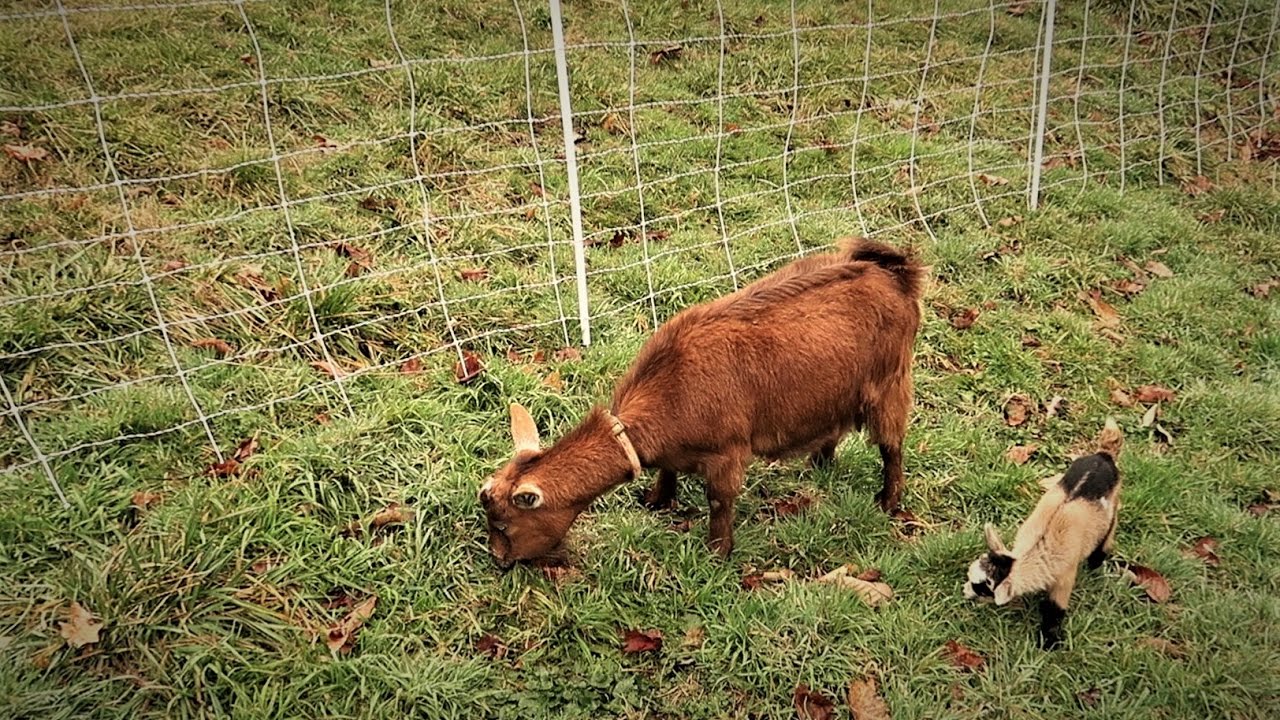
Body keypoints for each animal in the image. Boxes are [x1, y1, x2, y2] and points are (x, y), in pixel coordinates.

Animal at [479, 238, 924, 568]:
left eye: (503, 524)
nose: (499, 561)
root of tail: (896, 274)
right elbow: (667, 472)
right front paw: (656, 501)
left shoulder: (728, 452)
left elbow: (719, 500)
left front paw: (718, 552)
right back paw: (820, 462)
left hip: (891, 382)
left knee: (892, 445)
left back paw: (888, 501)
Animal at [965, 420, 1125, 648]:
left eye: (982, 589)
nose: (964, 591)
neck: (1035, 549)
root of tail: (1104, 455)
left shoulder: (1065, 577)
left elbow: (1054, 609)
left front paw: (1049, 642)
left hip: (1114, 504)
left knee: (1108, 532)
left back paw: (1095, 563)